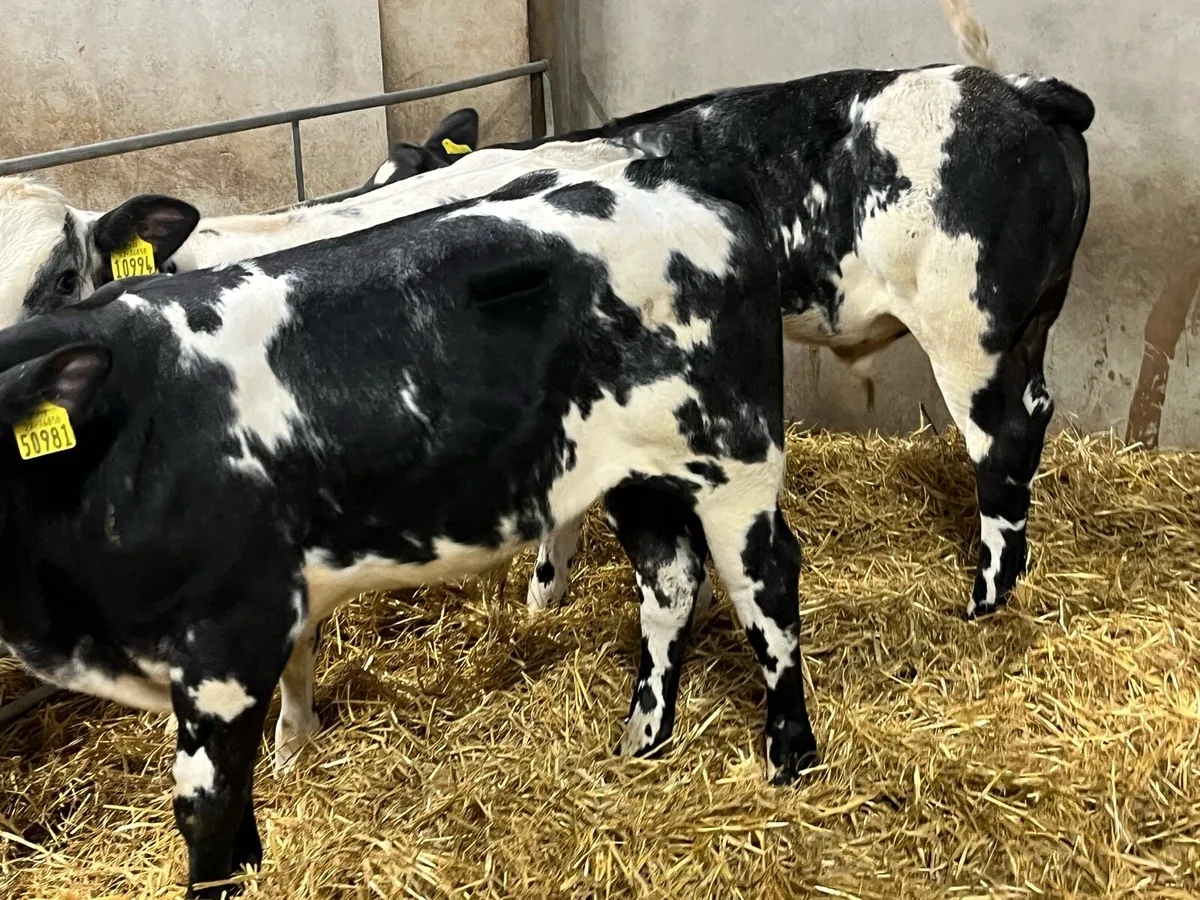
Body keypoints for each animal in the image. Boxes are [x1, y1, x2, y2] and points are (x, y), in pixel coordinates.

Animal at [0, 155, 814, 896]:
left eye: (63, 278)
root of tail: (676, 180)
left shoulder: (228, 635)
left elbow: (209, 812)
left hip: (735, 457)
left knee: (766, 586)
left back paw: (790, 755)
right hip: (632, 473)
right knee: (669, 580)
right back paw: (643, 736)